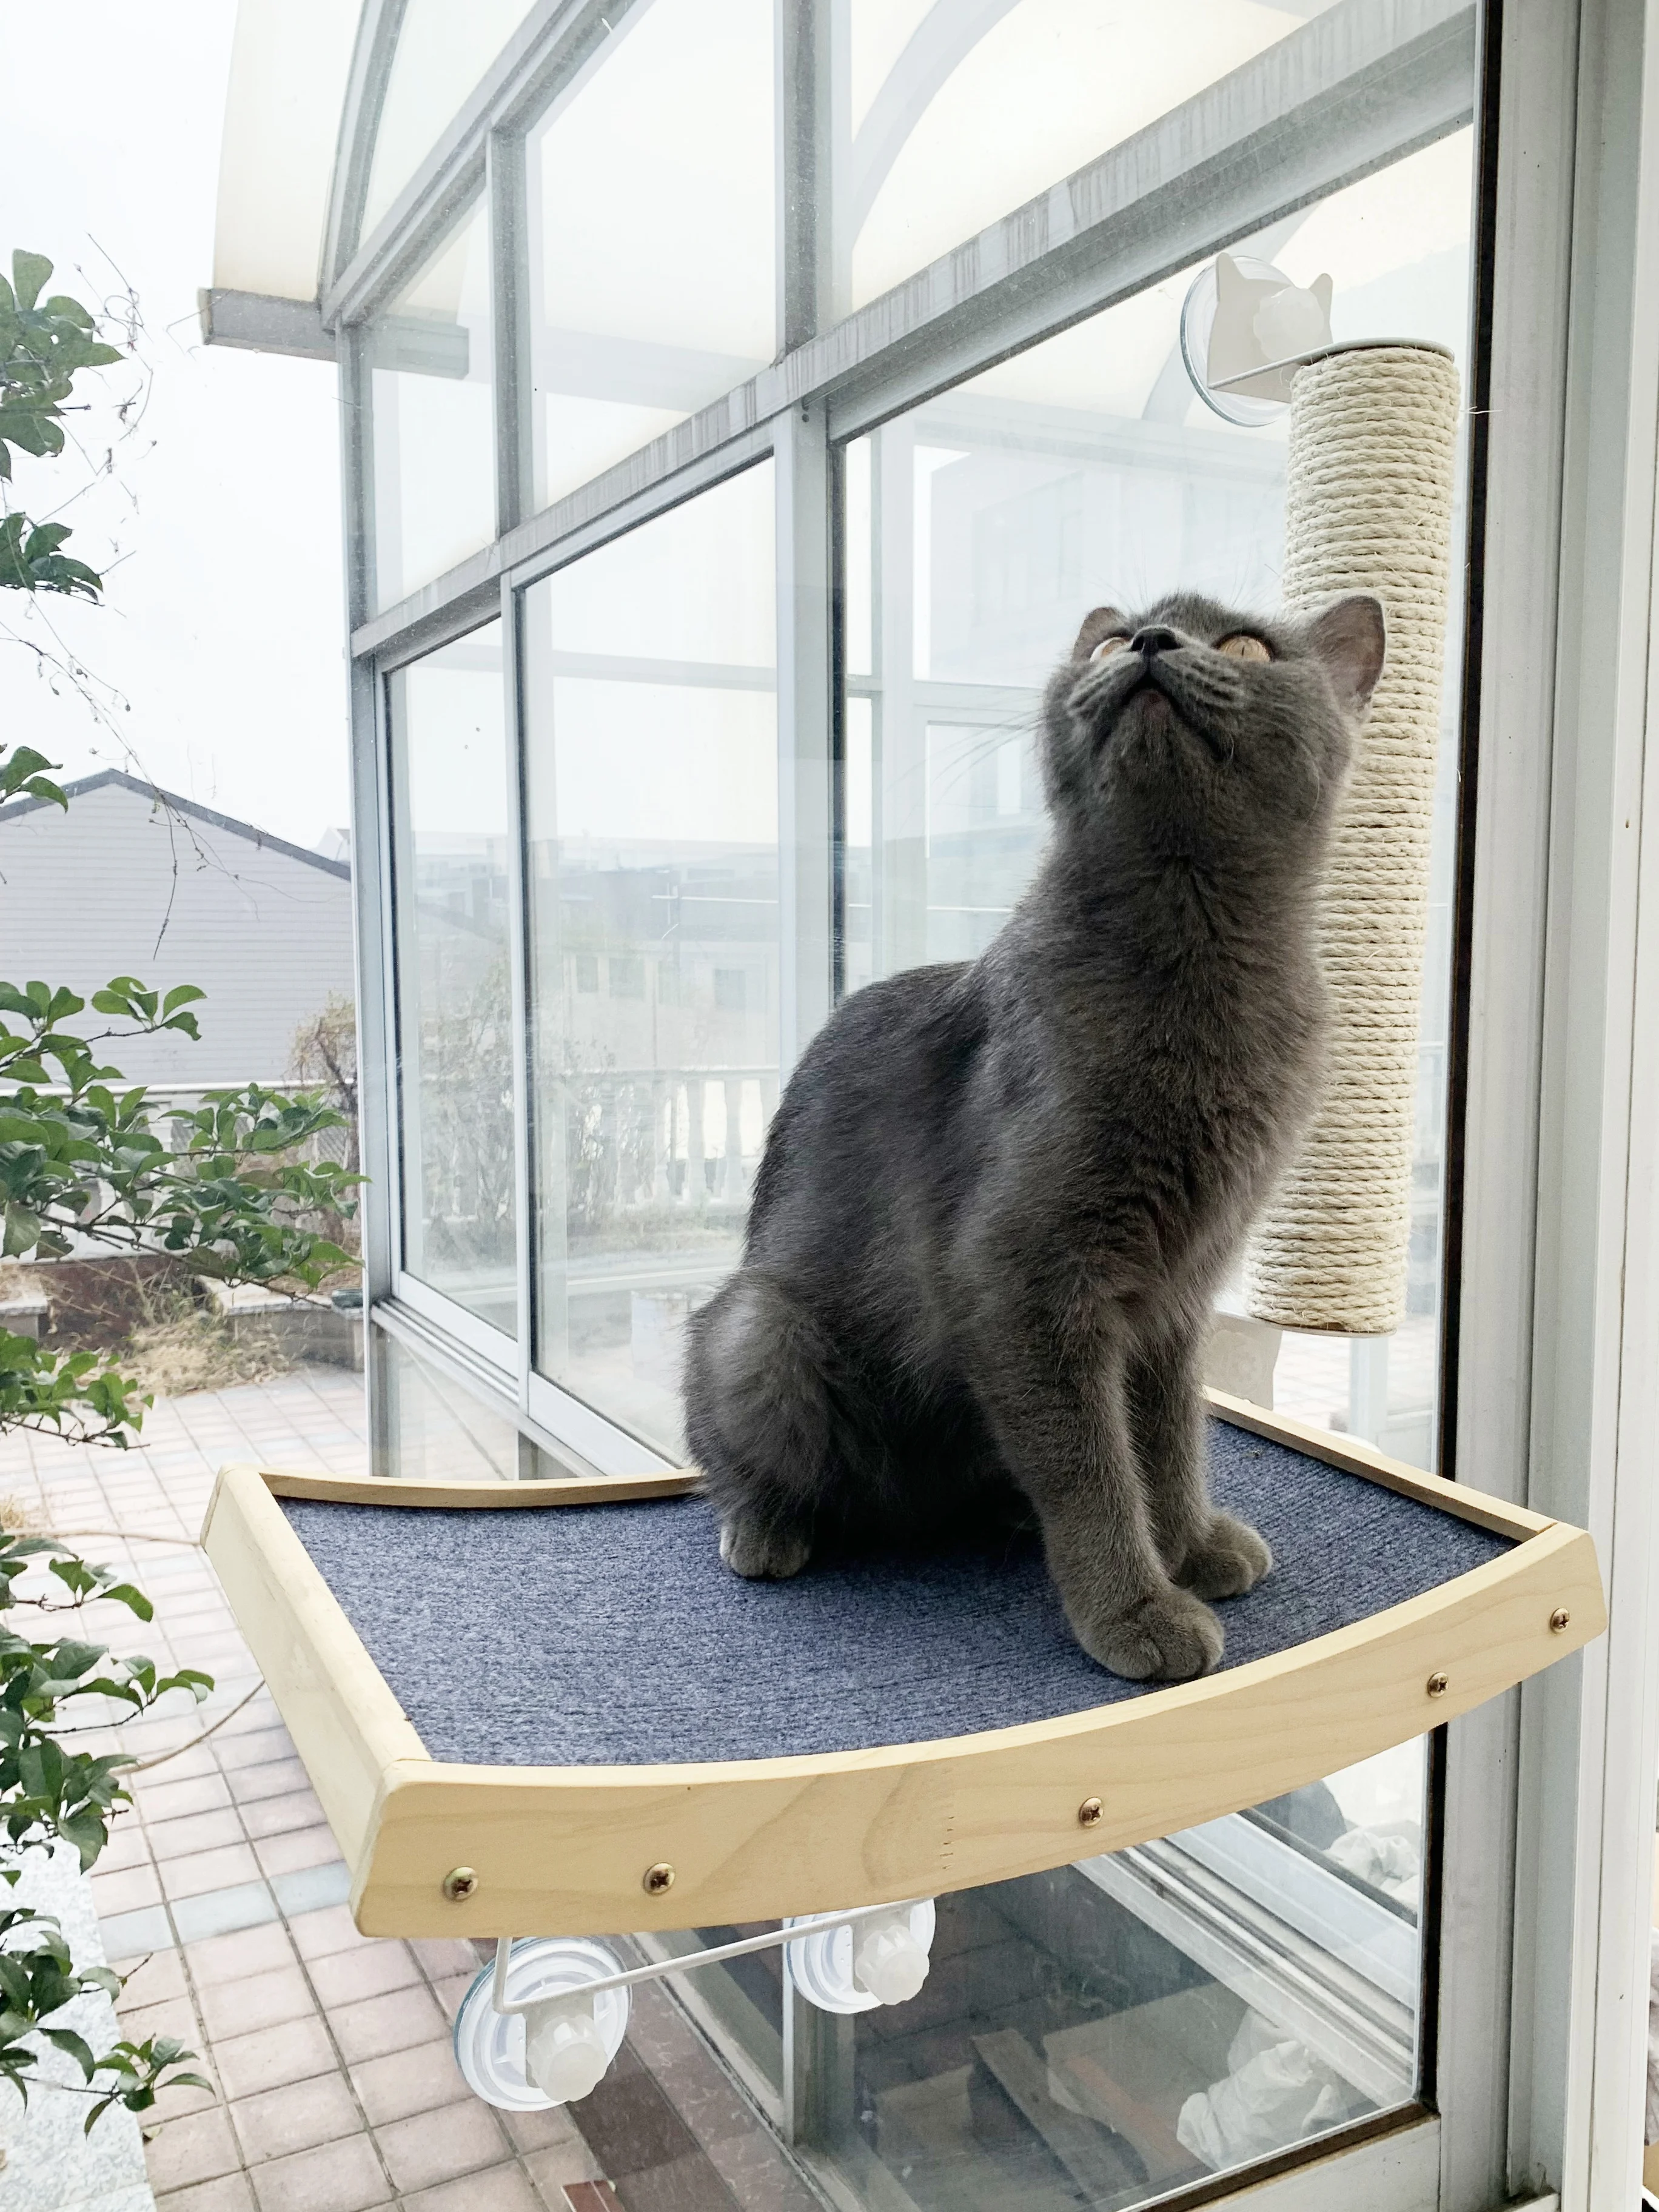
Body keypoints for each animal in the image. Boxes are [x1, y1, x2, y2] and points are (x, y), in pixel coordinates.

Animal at [685, 588, 1389, 1672]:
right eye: (1111, 641)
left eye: (1244, 648)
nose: (1150, 642)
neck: (1195, 963)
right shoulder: (1023, 1276)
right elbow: (1092, 1464)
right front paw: (1137, 1611)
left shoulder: (1175, 1294)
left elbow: (1169, 1438)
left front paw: (1190, 1547)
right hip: (761, 1327)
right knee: (736, 1452)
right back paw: (768, 1529)